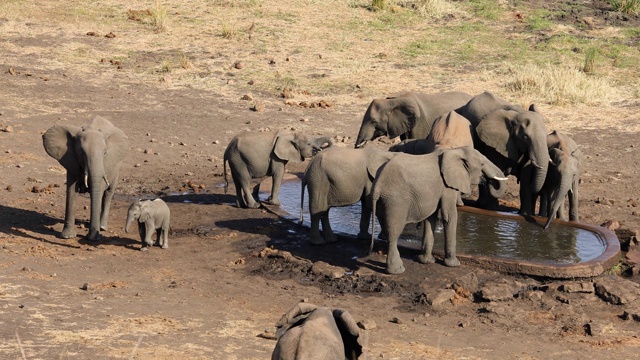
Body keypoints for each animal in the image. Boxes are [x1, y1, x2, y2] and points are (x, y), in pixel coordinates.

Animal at [372, 146, 508, 272]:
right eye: (482, 164)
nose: (488, 181)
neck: (455, 151)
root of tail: (378, 185)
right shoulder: (448, 186)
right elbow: (449, 216)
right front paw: (453, 264)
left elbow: (430, 218)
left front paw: (426, 261)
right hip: (395, 200)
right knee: (394, 232)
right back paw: (397, 271)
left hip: (383, 201)